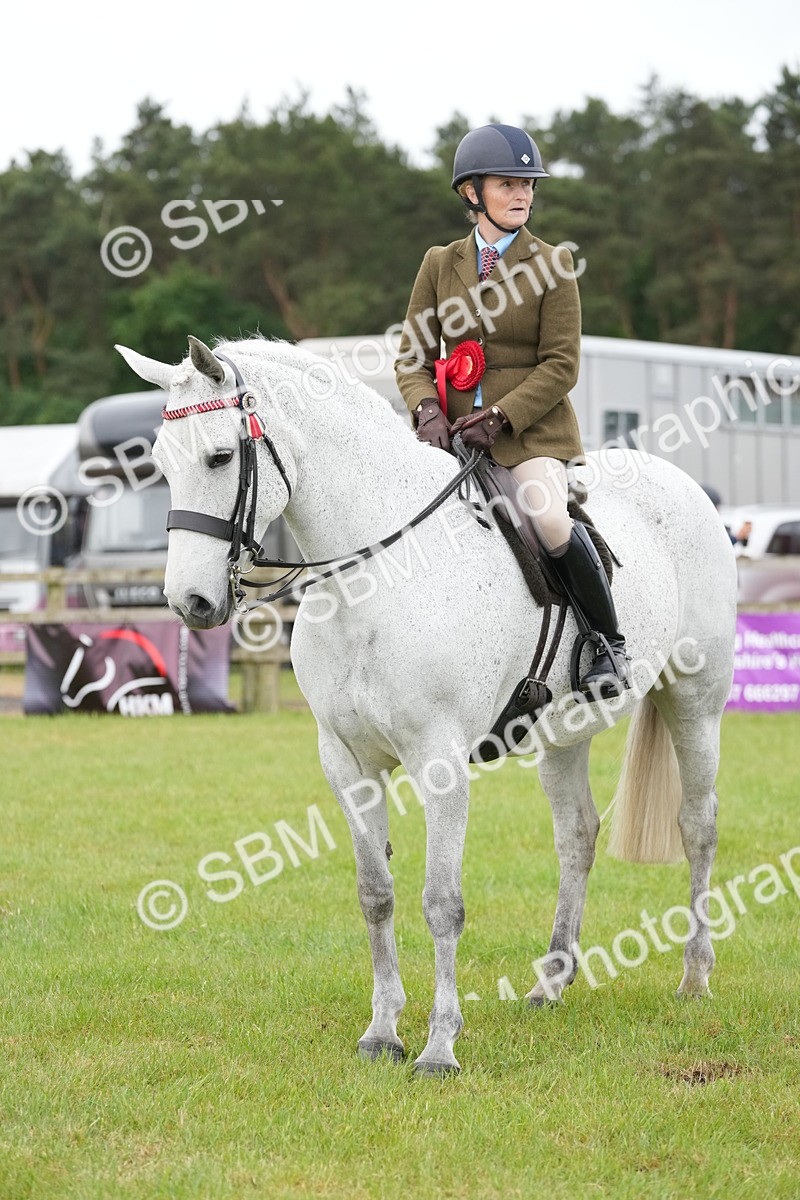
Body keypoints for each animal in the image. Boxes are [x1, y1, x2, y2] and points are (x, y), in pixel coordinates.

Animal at [117, 333, 738, 1076]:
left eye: (218, 456)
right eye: (158, 463)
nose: (191, 603)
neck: (371, 575)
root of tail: (684, 485)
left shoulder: (438, 762)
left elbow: (442, 902)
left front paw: (440, 1045)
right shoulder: (347, 762)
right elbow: (376, 894)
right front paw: (382, 1032)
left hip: (695, 699)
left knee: (697, 826)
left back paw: (695, 976)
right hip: (564, 731)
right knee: (577, 835)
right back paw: (550, 983)